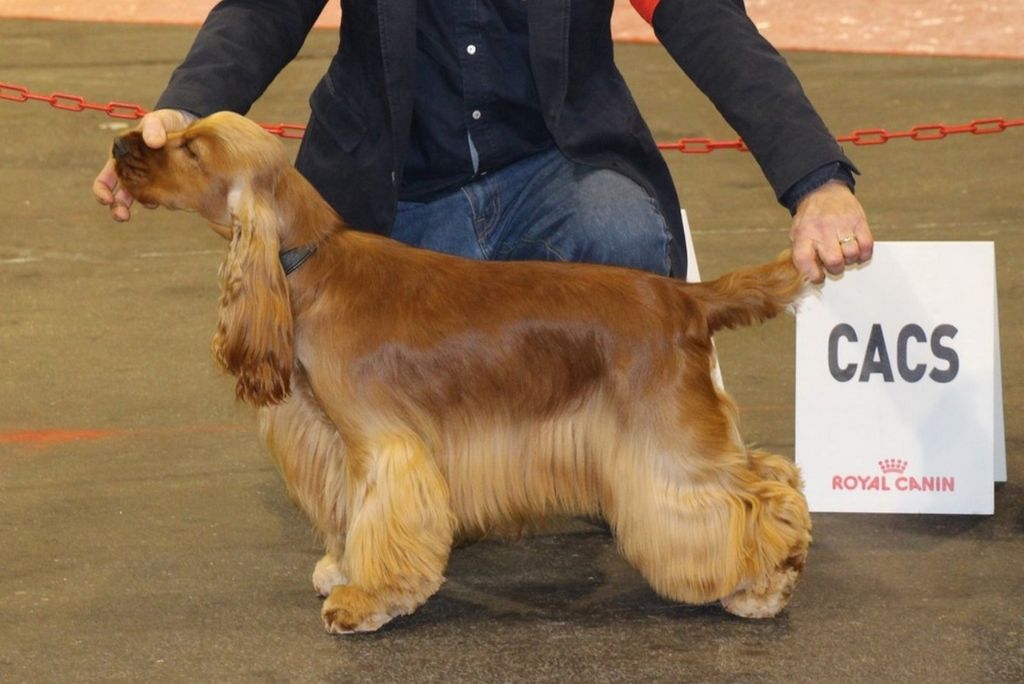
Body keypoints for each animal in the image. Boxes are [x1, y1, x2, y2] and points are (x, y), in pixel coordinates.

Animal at [111, 111, 812, 634]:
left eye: (192, 151)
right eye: (178, 133)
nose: (121, 144)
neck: (309, 263)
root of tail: (687, 297)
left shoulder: (381, 442)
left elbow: (379, 514)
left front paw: (363, 600)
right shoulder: (338, 439)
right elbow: (349, 512)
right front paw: (341, 568)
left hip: (667, 439)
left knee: (760, 494)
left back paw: (764, 588)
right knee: (772, 472)